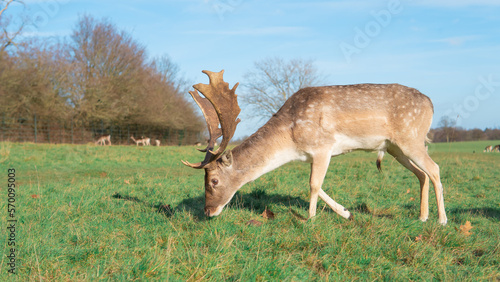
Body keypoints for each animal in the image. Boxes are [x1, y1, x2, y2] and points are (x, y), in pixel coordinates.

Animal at [183, 70, 450, 225]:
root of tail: (430, 103)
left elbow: (312, 184)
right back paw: (422, 216)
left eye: (214, 180)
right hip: (396, 148)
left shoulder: (323, 146)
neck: (291, 140)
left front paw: (310, 219)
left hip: (411, 139)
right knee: (422, 174)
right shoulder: (312, 156)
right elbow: (317, 185)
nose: (208, 211)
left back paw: (442, 220)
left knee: (435, 169)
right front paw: (346, 212)